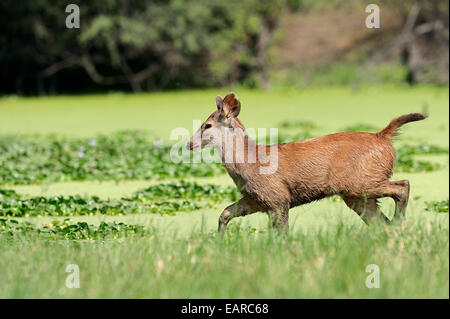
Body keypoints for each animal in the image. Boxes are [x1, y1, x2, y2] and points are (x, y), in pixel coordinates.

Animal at [188, 92, 428, 232]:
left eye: (207, 125)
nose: (189, 144)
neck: (249, 163)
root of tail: (383, 137)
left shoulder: (278, 197)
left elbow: (281, 233)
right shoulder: (256, 199)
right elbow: (225, 213)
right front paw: (218, 241)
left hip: (363, 181)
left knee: (403, 186)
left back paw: (400, 223)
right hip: (356, 194)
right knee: (380, 221)